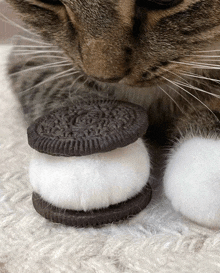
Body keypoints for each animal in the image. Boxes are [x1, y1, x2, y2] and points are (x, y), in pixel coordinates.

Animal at [4, 0, 220, 227]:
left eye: (163, 1)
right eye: (48, 1)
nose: (105, 76)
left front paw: (209, 167)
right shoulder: (28, 46)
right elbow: (48, 78)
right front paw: (87, 164)